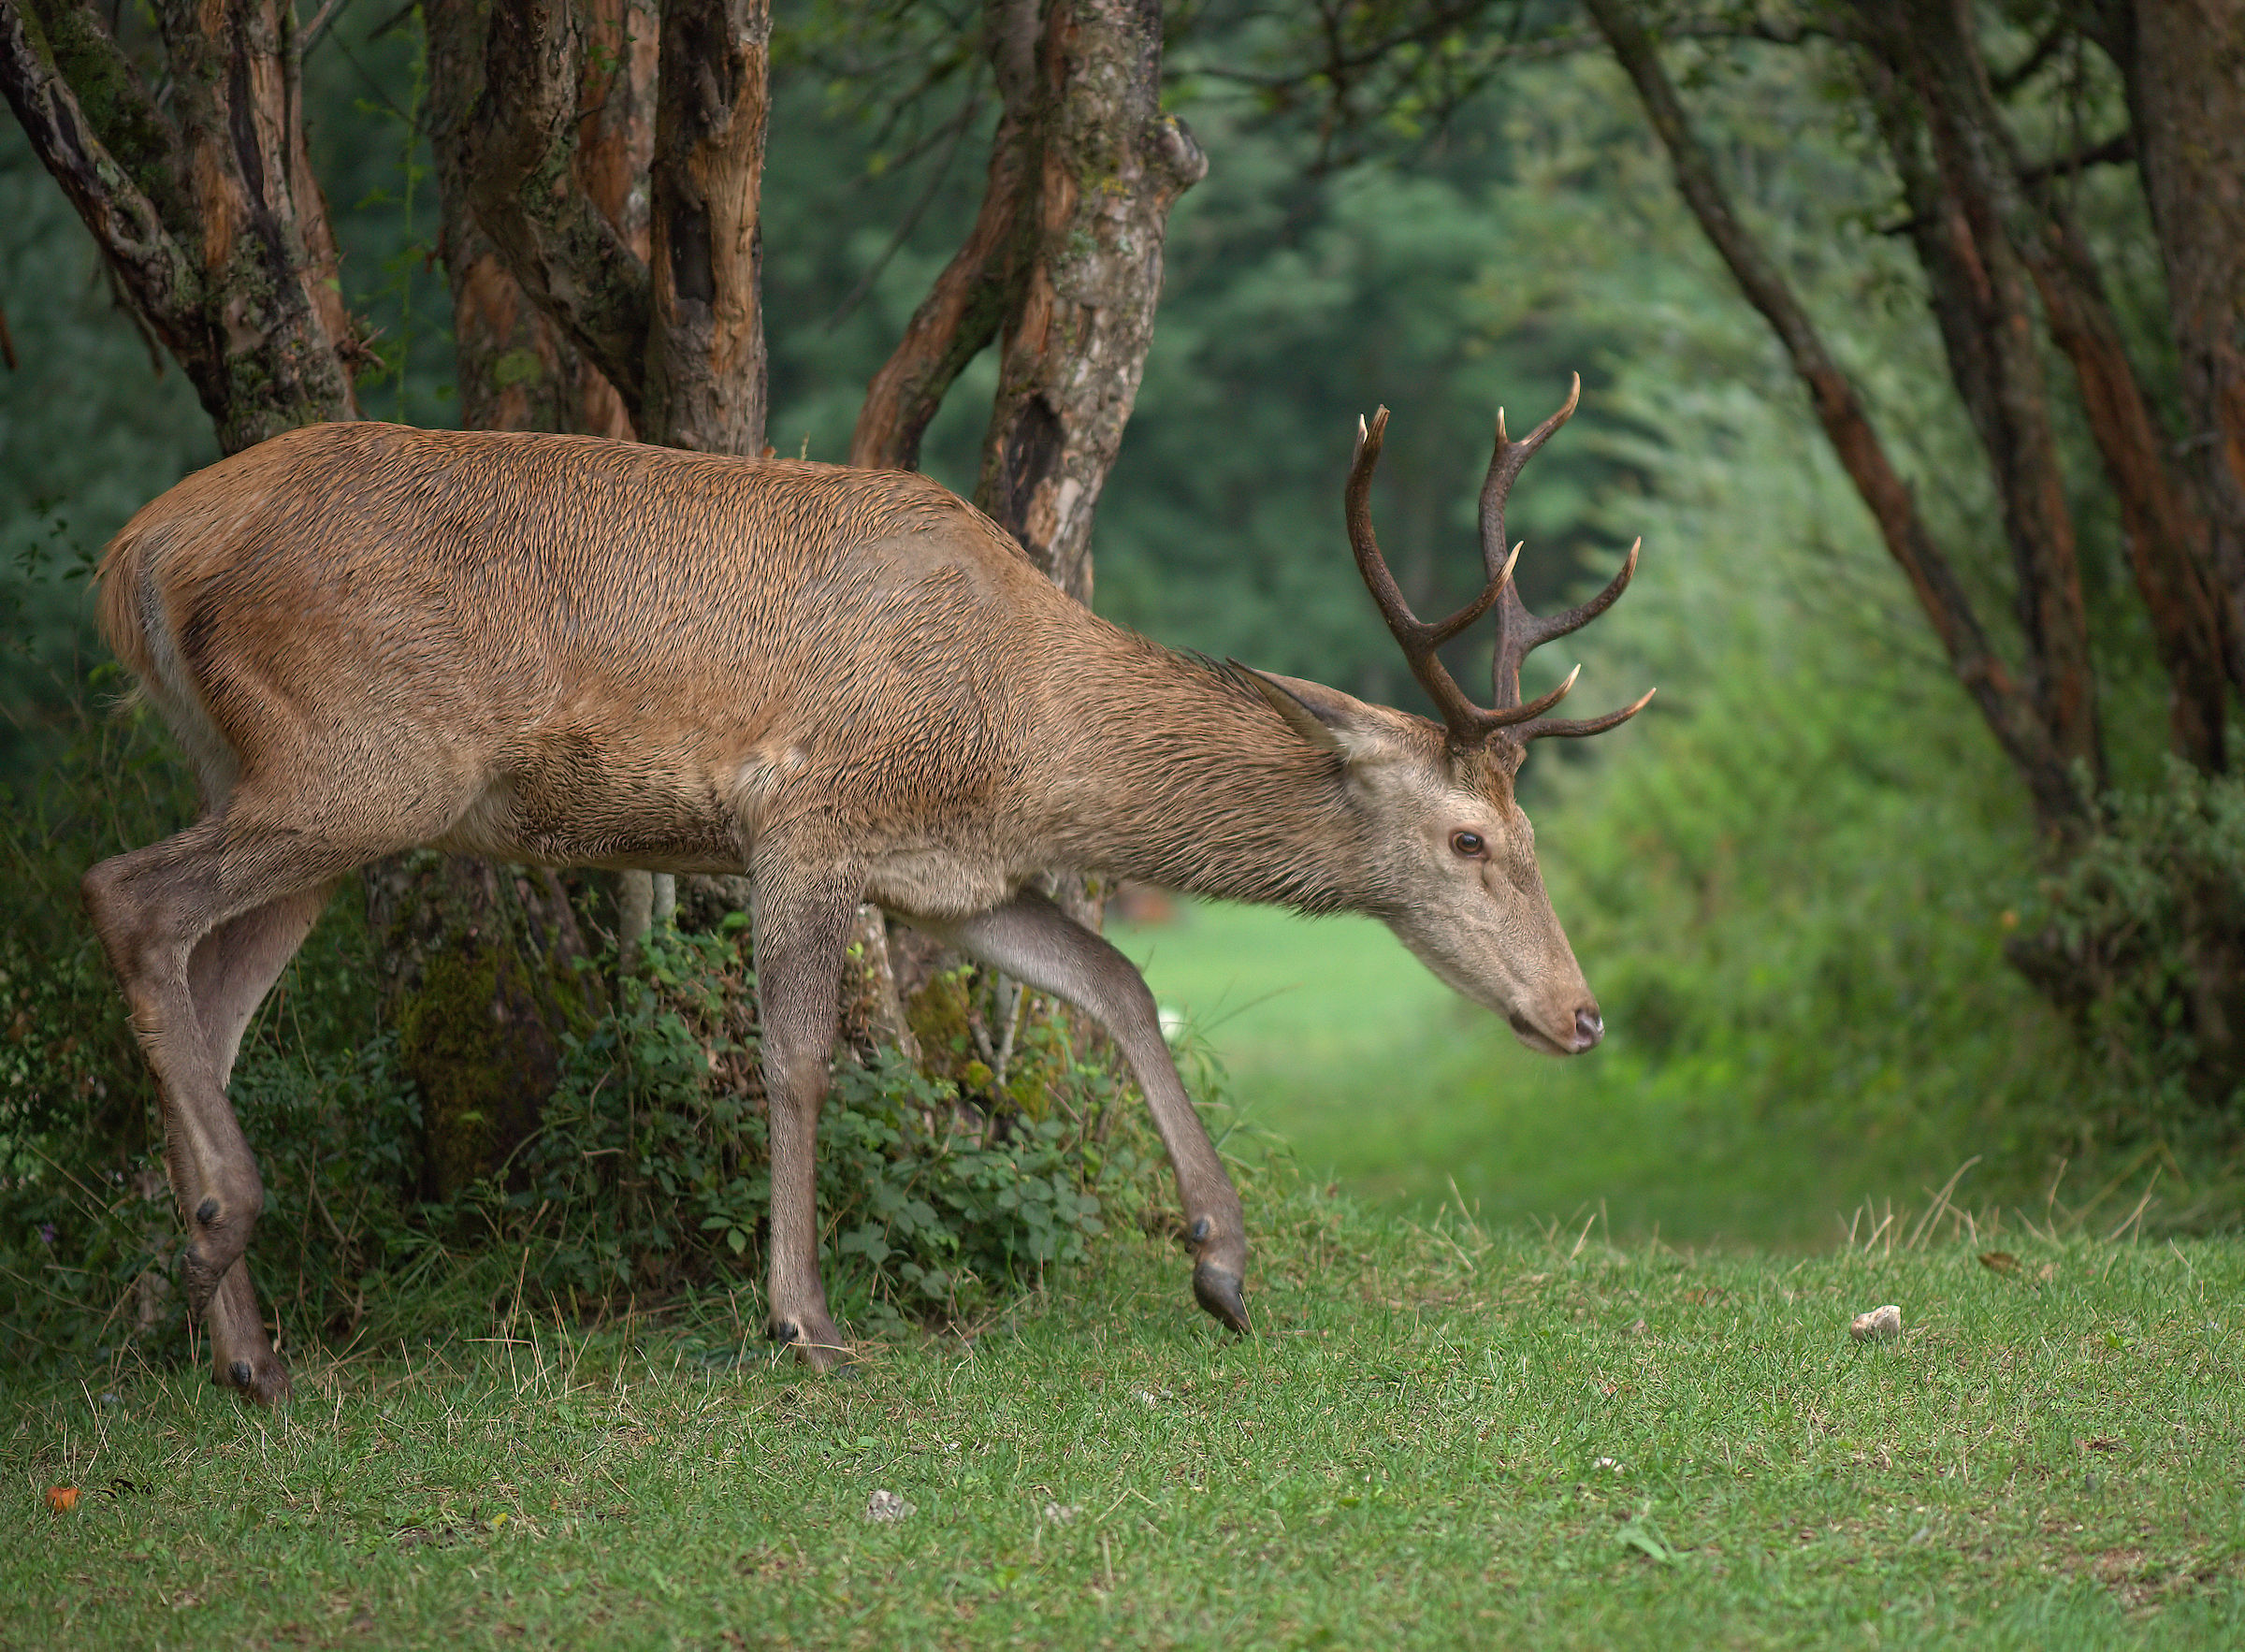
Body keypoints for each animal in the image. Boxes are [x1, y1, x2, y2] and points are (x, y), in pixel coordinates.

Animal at [83, 376, 1649, 1403]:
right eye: (1471, 838)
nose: (1582, 1015)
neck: (1020, 733)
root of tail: (139, 552)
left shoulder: (954, 879)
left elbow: (1121, 981)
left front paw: (1223, 1265)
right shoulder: (811, 818)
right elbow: (799, 1057)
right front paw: (805, 1318)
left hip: (297, 784)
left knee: (211, 991)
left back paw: (223, 1327)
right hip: (363, 762)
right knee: (125, 893)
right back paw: (224, 1246)